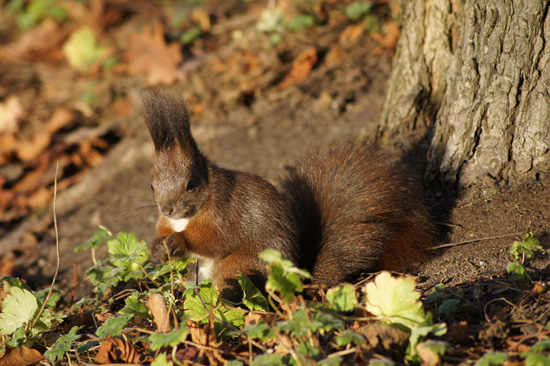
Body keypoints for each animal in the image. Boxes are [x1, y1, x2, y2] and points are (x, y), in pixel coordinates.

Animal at [144, 88, 438, 300]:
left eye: (191, 184)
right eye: (152, 186)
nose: (166, 209)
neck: (187, 215)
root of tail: (296, 281)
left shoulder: (226, 215)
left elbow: (213, 241)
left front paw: (177, 241)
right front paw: (157, 247)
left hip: (240, 267)